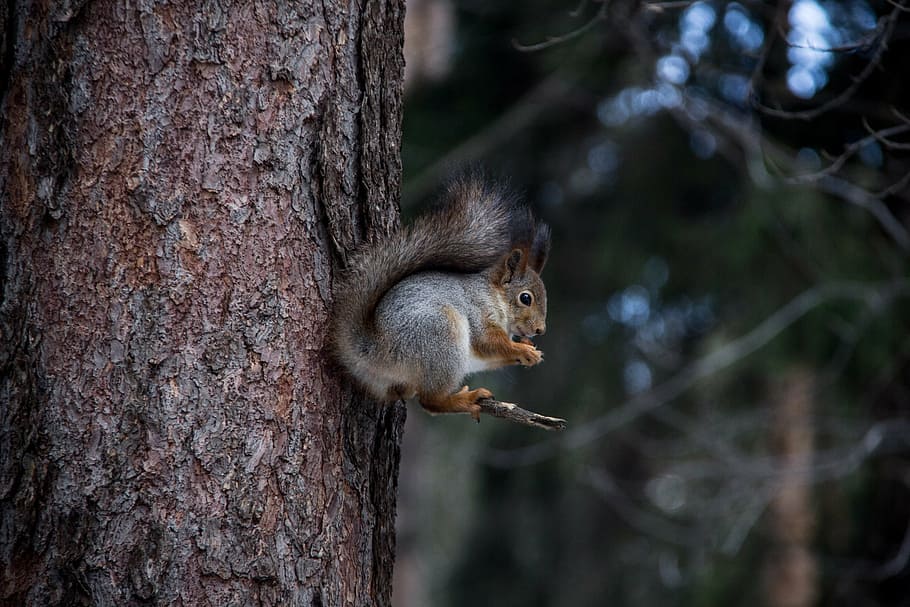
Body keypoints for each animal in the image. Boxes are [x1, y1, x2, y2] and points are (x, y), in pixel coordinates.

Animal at [330, 177, 551, 421]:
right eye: (525, 298)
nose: (540, 330)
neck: (494, 296)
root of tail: (374, 349)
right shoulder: (477, 309)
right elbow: (489, 342)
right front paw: (522, 350)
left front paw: (528, 349)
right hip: (441, 335)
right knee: (430, 402)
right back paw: (465, 399)